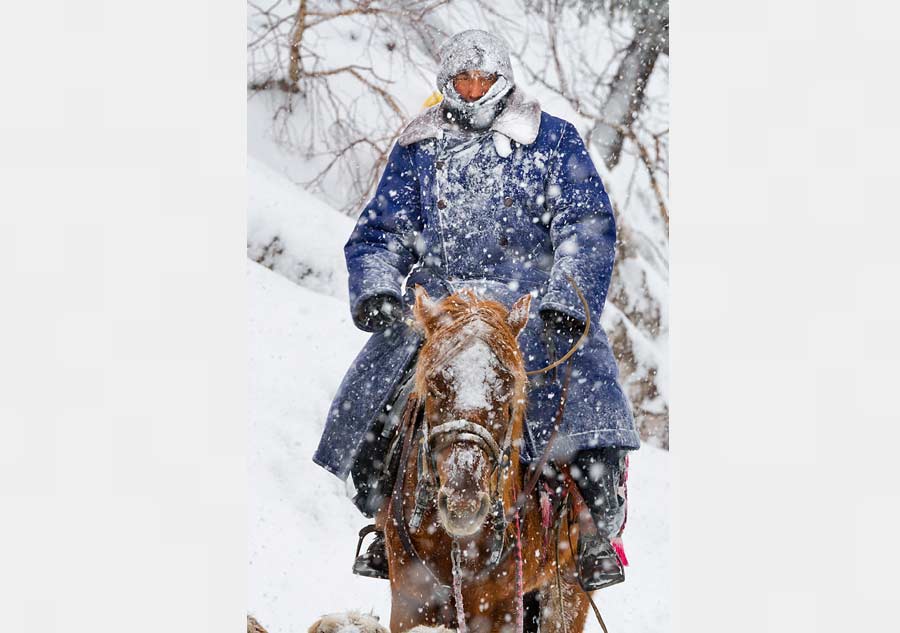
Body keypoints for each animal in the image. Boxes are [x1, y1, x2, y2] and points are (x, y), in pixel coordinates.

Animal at [376, 286, 596, 632]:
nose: (463, 502)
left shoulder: (500, 608)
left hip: (569, 589)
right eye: (435, 384)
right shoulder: (410, 602)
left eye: (506, 389)